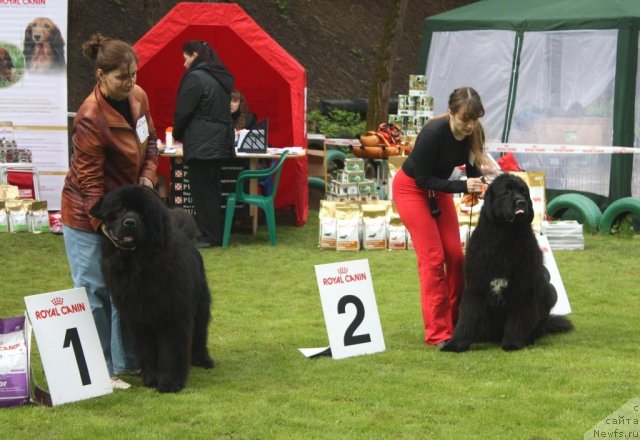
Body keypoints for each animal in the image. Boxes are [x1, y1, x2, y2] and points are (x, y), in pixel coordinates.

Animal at [91, 185, 214, 392]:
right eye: (121, 210)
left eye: (143, 214)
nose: (130, 222)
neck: (137, 263)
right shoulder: (138, 319)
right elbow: (147, 350)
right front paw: (151, 378)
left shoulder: (173, 316)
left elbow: (172, 350)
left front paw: (170, 383)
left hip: (200, 304)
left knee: (200, 331)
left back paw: (202, 359)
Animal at [442, 174, 572, 352]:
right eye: (507, 192)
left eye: (523, 192)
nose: (521, 202)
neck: (504, 236)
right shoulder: (475, 285)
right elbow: (468, 316)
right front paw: (456, 343)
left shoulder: (522, 287)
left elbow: (518, 318)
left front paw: (513, 343)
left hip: (549, 291)